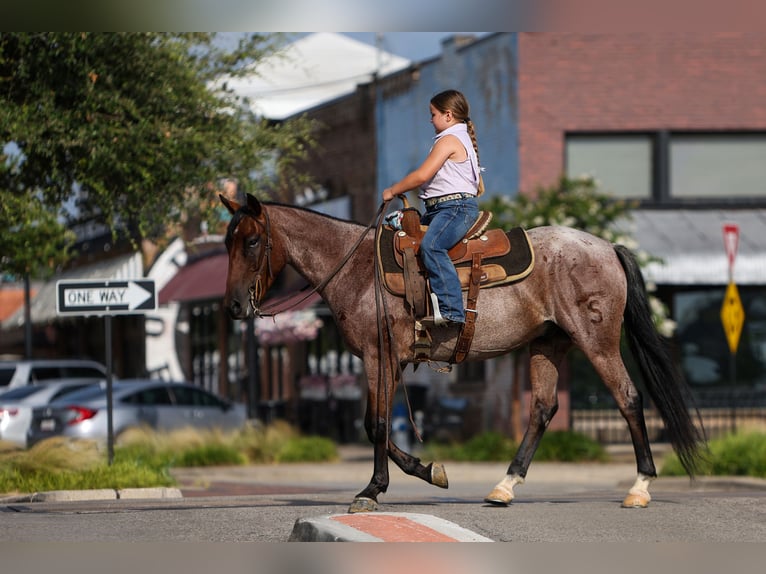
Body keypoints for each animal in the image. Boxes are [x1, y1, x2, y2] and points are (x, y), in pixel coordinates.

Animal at [219, 194, 704, 512]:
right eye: (227, 243)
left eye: (252, 242)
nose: (233, 307)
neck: (356, 269)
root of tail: (607, 247)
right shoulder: (382, 362)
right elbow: (373, 424)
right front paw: (429, 470)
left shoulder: (381, 357)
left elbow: (377, 424)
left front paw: (372, 490)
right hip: (549, 343)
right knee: (543, 409)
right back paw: (505, 486)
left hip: (595, 340)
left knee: (628, 398)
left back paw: (640, 487)